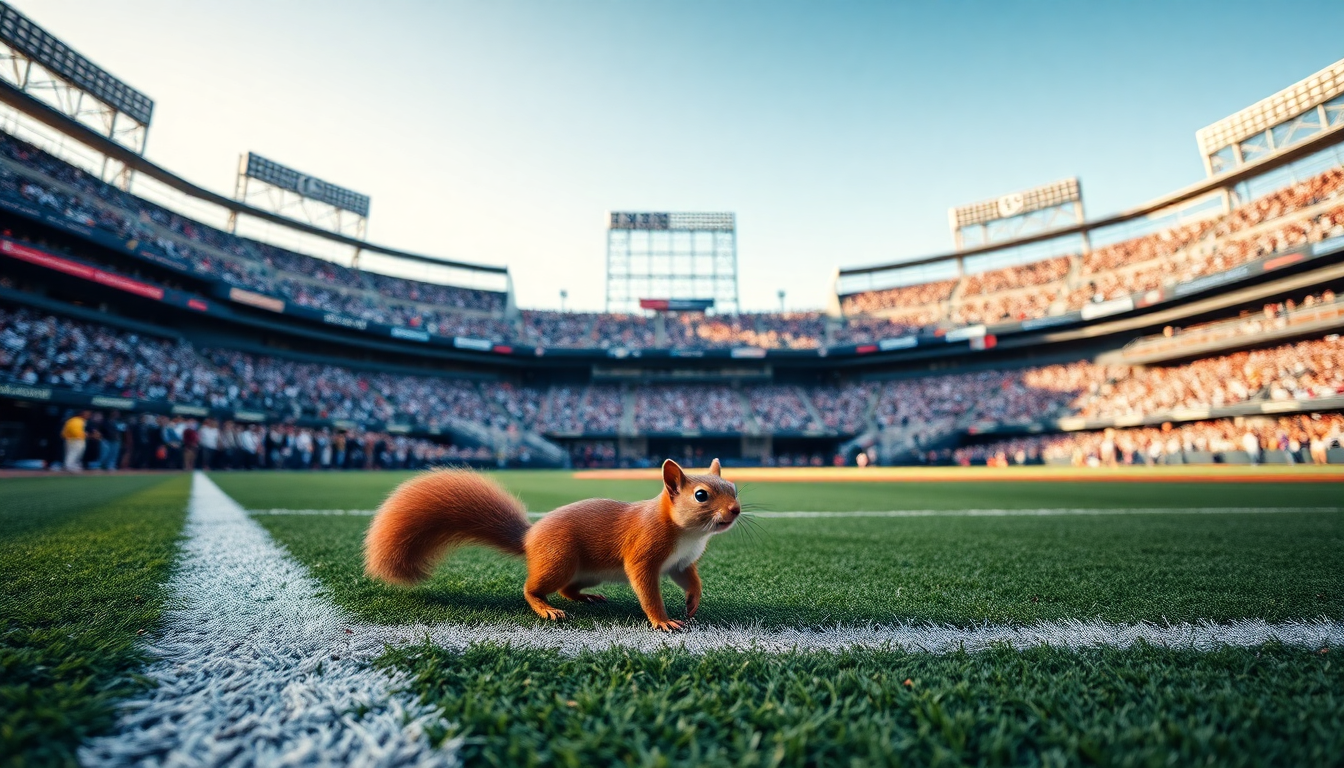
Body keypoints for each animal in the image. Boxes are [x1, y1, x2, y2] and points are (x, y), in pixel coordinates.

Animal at [363, 458, 740, 631]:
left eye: (734, 488)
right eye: (701, 495)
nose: (735, 511)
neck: (688, 534)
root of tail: (529, 538)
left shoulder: (681, 561)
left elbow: (689, 579)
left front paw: (692, 603)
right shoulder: (643, 553)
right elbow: (647, 589)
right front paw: (662, 621)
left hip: (586, 571)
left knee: (567, 589)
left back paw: (586, 598)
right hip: (559, 559)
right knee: (534, 588)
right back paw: (545, 608)